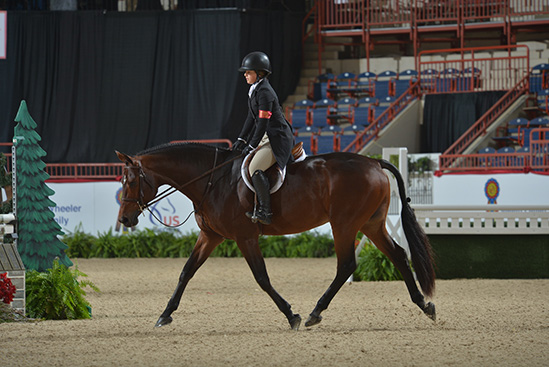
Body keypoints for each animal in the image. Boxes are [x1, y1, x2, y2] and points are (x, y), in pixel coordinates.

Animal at [116, 142, 436, 330]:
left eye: (130, 181)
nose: (124, 220)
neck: (211, 179)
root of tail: (374, 163)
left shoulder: (245, 238)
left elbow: (261, 277)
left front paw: (291, 315)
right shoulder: (211, 236)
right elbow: (186, 272)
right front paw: (165, 314)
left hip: (344, 224)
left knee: (346, 265)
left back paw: (314, 313)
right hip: (371, 224)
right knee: (398, 255)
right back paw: (424, 305)